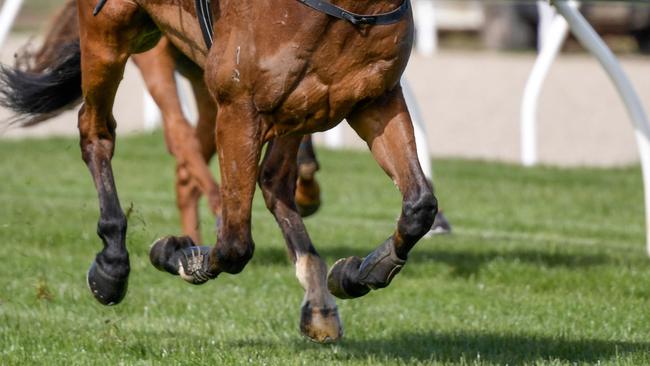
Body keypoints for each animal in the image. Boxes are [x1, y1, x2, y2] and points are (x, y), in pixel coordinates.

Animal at [1, 0, 436, 342]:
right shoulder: (240, 108)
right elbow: (233, 245)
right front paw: (177, 254)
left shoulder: (372, 99)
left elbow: (419, 206)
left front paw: (360, 272)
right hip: (109, 33)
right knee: (99, 132)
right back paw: (112, 264)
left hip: (293, 104)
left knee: (274, 179)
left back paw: (318, 302)